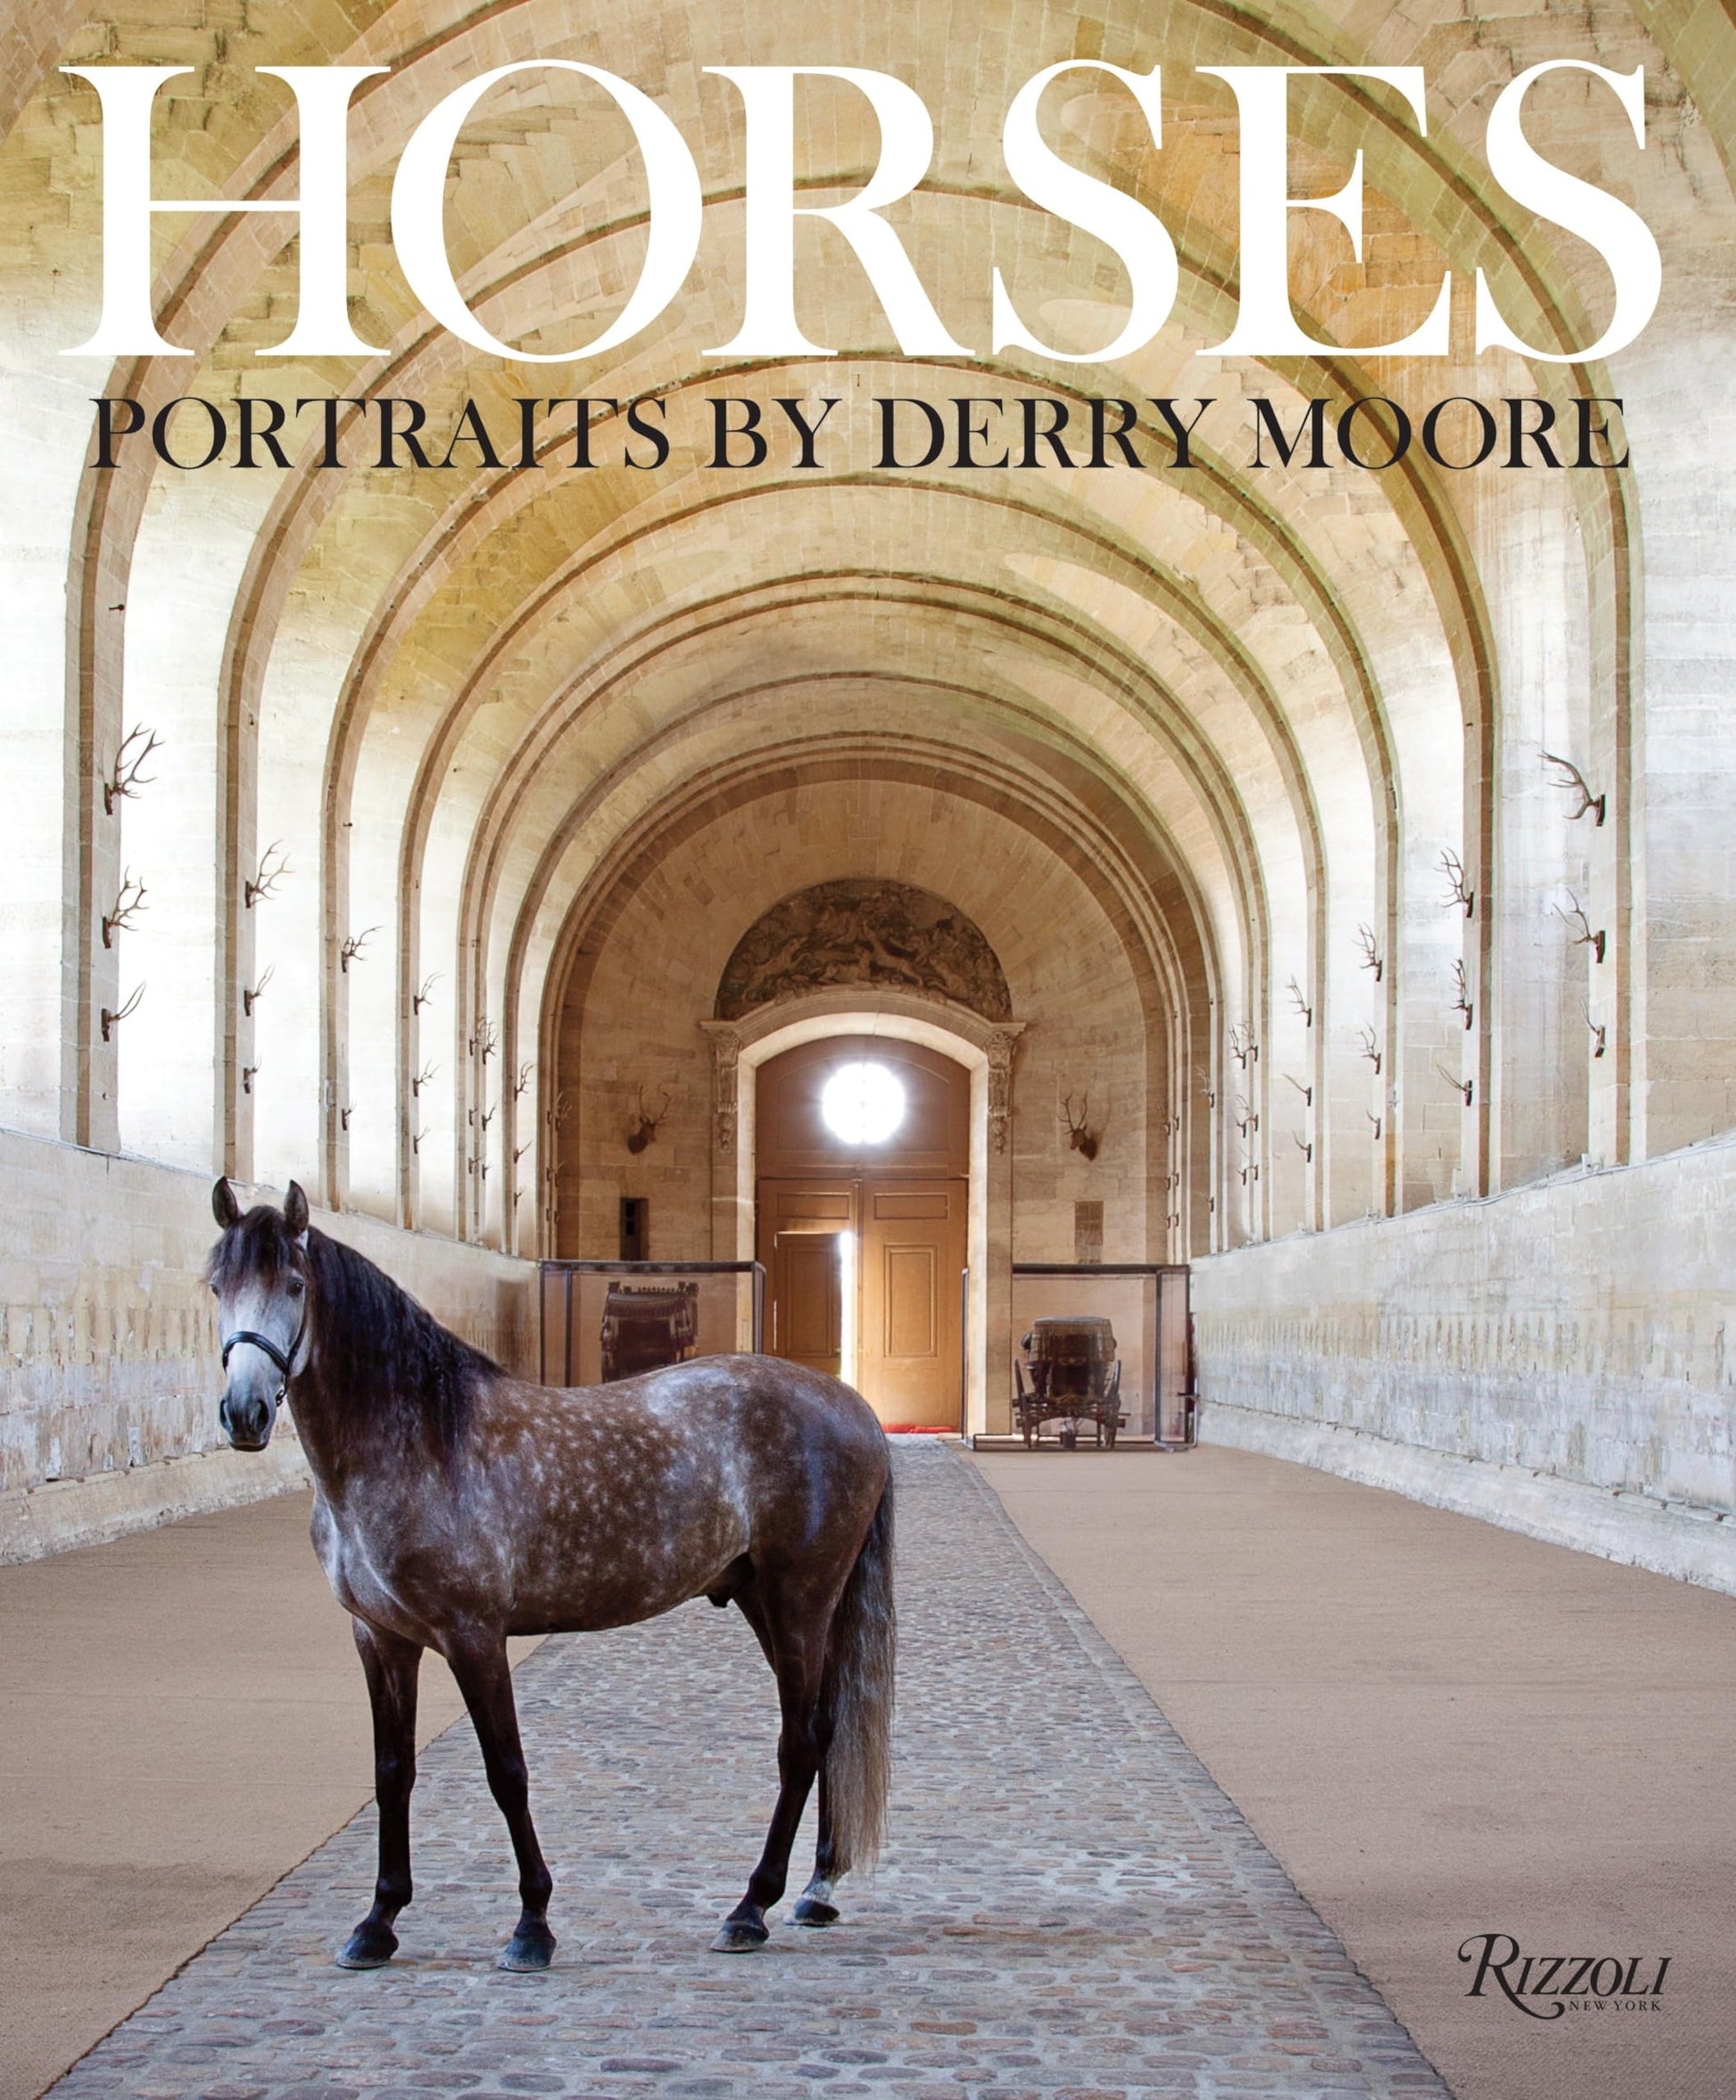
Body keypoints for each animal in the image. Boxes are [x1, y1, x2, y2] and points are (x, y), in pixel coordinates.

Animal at [206, 1177, 894, 1972]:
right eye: (217, 1285)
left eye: (294, 1285)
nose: (245, 1414)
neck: (422, 1436)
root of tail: (854, 1408)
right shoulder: (380, 1639)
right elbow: (392, 1774)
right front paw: (377, 1922)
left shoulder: (473, 1637)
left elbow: (507, 1772)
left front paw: (532, 1924)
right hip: (768, 1600)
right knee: (826, 1728)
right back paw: (817, 1889)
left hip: (799, 1600)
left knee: (801, 1742)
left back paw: (751, 1908)